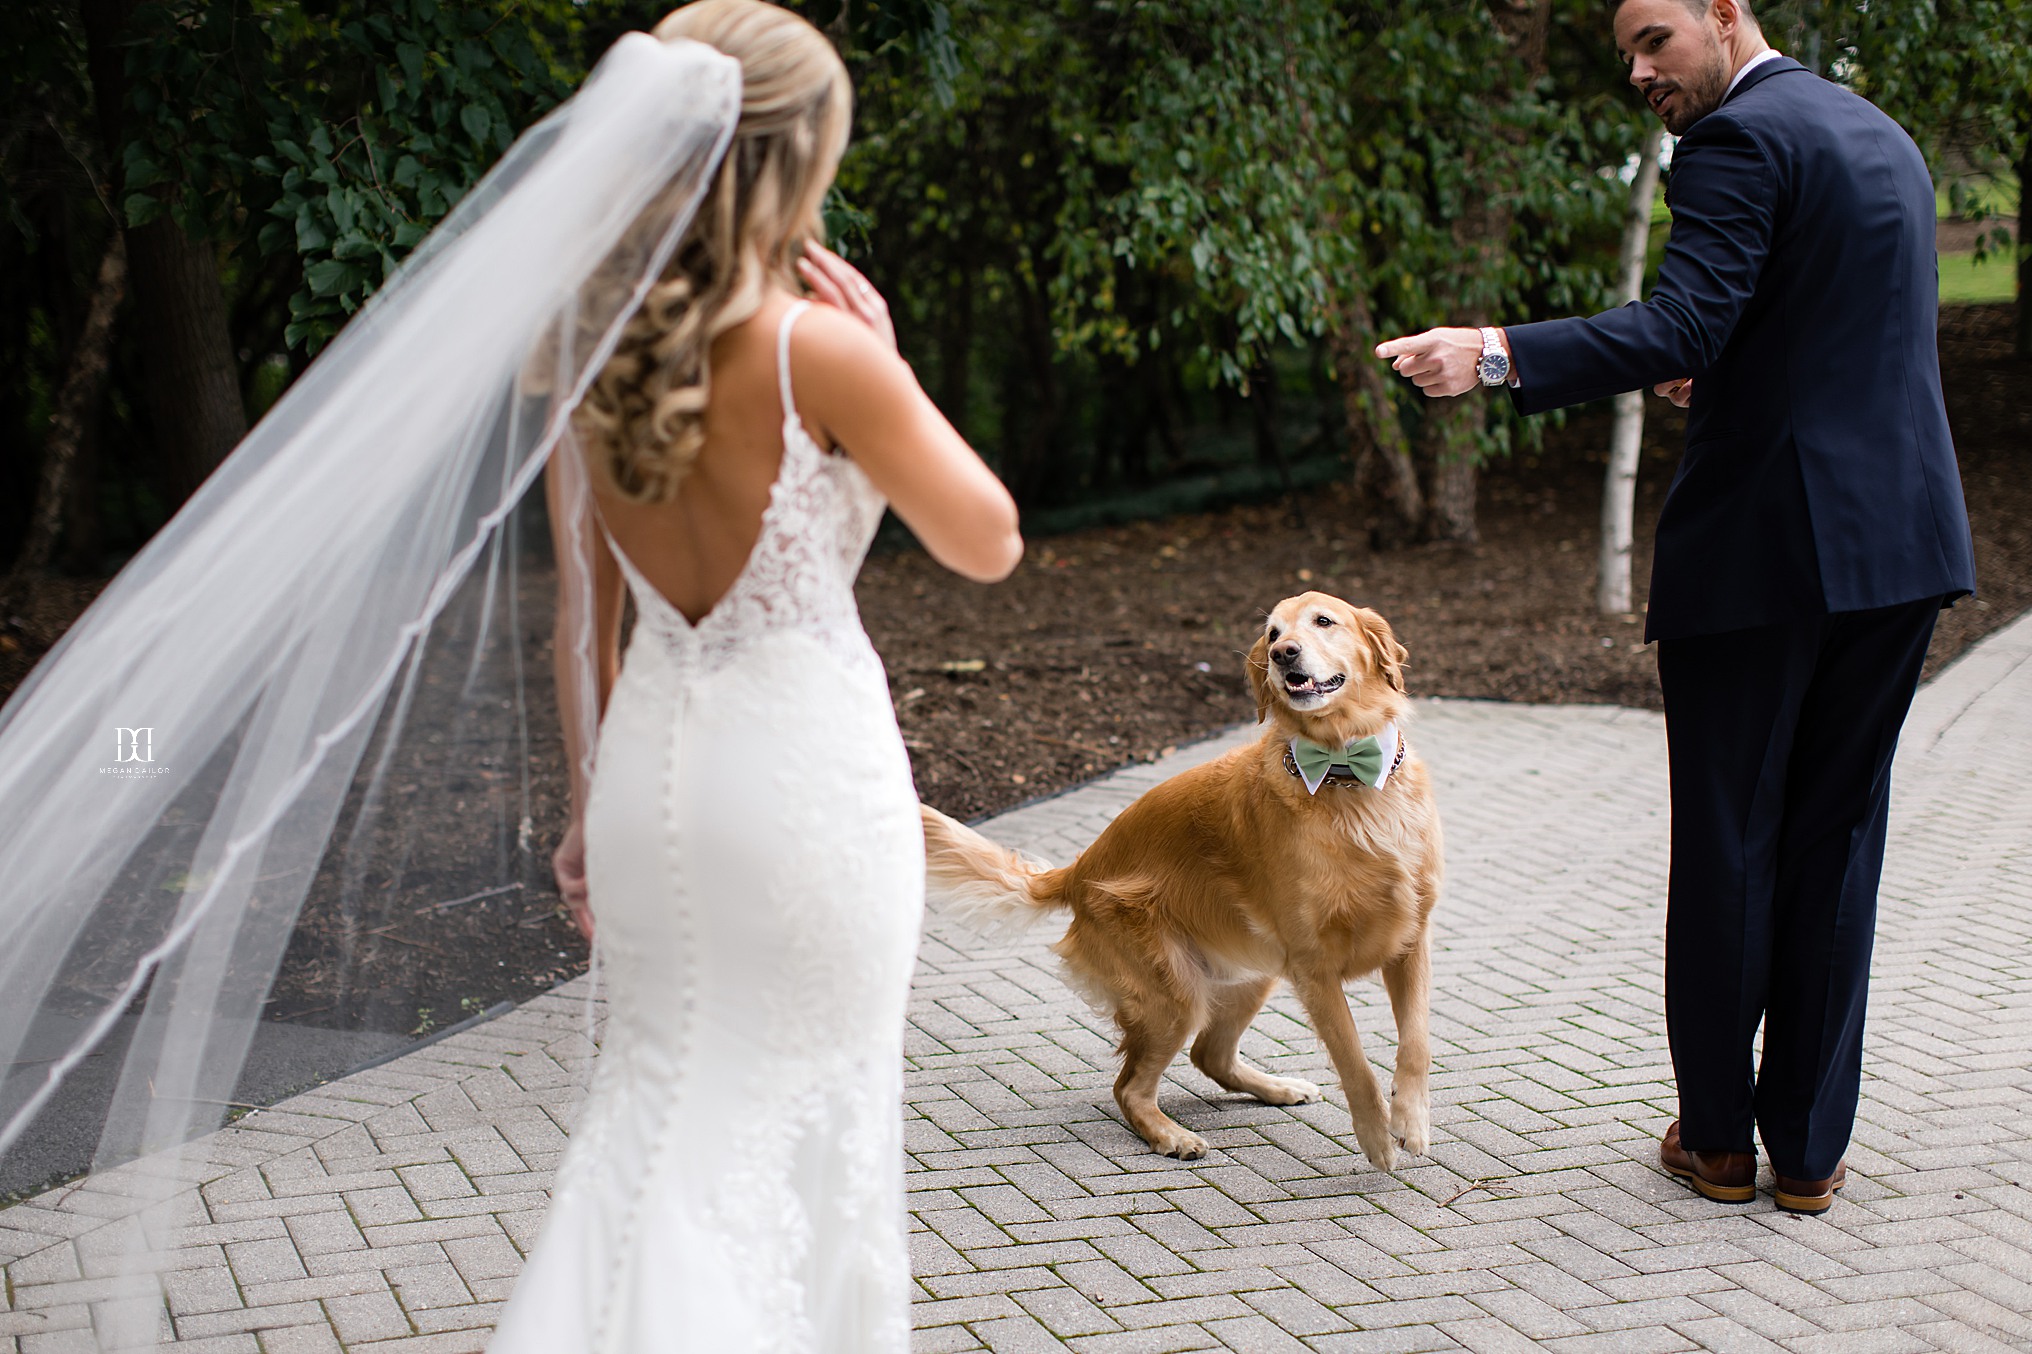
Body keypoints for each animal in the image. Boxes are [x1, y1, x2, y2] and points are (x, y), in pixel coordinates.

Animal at [922, 589, 1446, 1171]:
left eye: (1323, 621)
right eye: (1272, 633)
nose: (1283, 654)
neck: (1345, 775)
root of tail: (1079, 868)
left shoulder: (1411, 938)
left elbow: (1417, 1043)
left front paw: (1411, 1121)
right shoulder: (1314, 968)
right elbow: (1354, 1059)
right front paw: (1376, 1136)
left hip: (1251, 972)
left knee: (1209, 1054)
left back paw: (1278, 1089)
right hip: (1175, 994)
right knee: (1130, 1086)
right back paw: (1169, 1134)